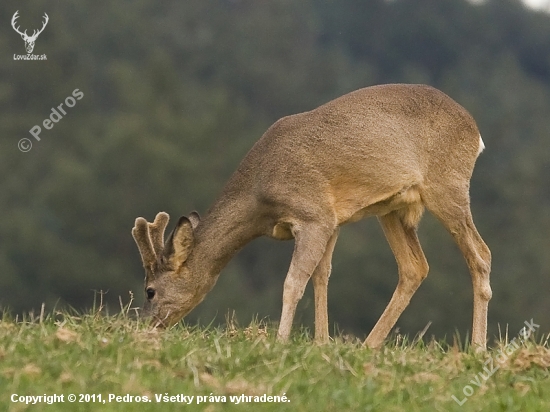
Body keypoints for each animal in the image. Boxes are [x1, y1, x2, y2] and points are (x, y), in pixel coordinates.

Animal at [133, 85, 492, 350]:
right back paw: (369, 346)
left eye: (150, 290)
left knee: (481, 254)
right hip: (393, 208)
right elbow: (322, 276)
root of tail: (475, 132)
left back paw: (477, 348)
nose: (145, 326)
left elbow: (294, 281)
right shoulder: (332, 219)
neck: (260, 195)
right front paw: (321, 342)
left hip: (448, 186)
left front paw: (280, 342)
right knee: (415, 267)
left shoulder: (313, 214)